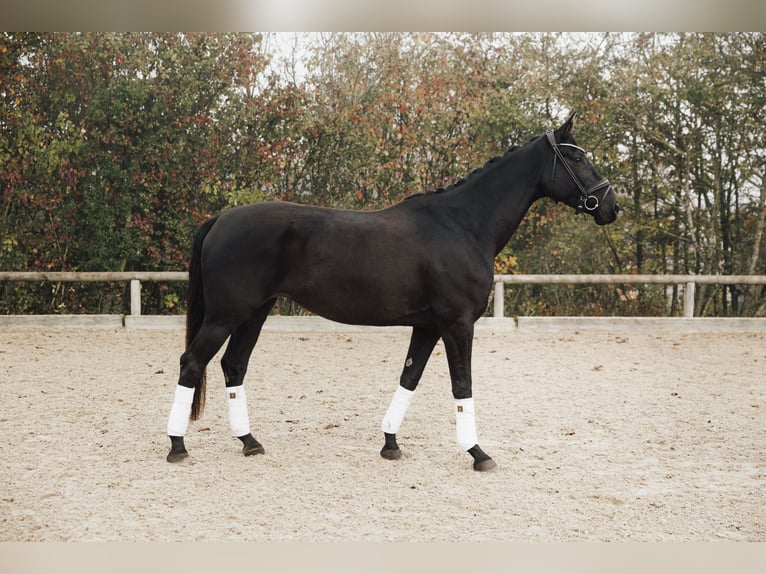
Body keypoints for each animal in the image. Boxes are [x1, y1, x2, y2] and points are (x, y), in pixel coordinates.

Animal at [166, 112, 616, 472]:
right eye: (576, 157)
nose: (611, 206)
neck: (463, 225)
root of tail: (221, 218)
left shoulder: (428, 326)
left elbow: (409, 377)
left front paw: (390, 444)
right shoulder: (458, 324)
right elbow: (462, 385)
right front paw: (478, 453)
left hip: (255, 312)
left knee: (233, 366)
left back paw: (249, 442)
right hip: (226, 314)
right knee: (192, 363)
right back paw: (177, 446)